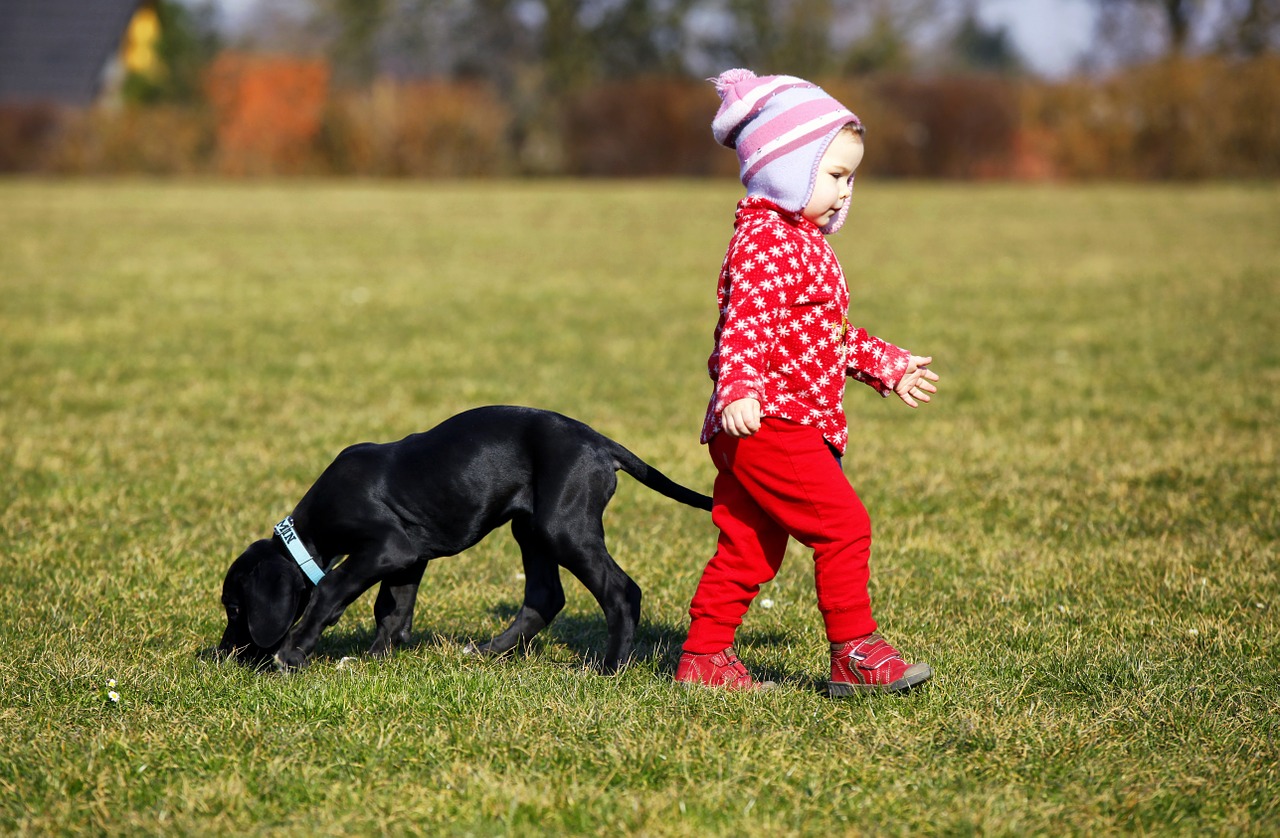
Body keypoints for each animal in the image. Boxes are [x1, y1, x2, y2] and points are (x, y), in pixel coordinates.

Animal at [217, 406, 711, 675]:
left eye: (236, 609)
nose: (223, 655)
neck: (310, 530)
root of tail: (597, 441)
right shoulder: (409, 556)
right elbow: (392, 608)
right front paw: (377, 658)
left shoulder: (387, 547)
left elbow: (331, 589)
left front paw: (293, 651)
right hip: (530, 528)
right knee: (544, 596)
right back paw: (489, 650)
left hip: (563, 526)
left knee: (621, 591)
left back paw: (610, 668)